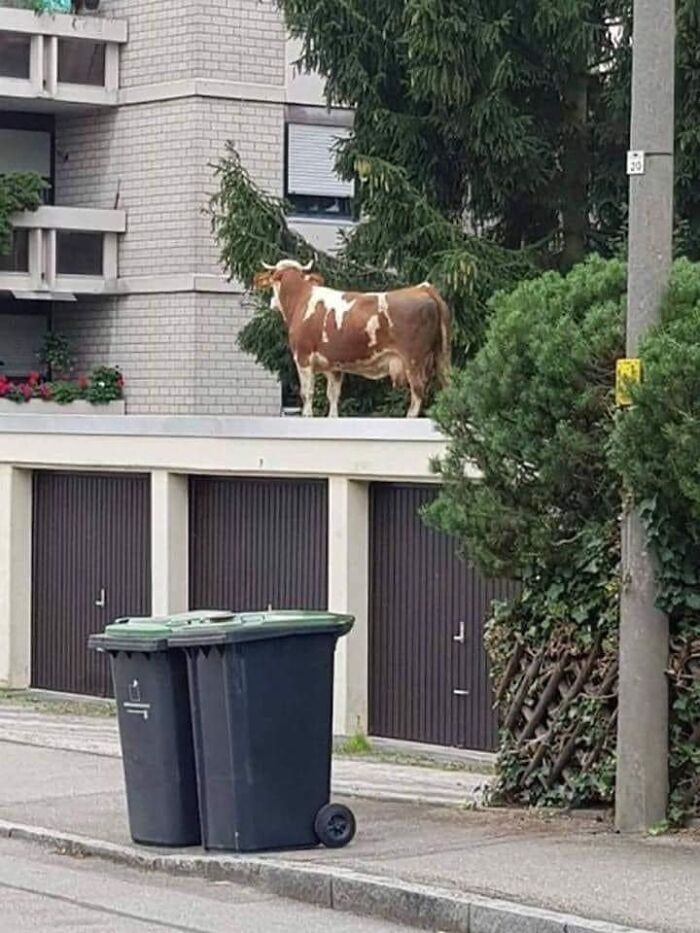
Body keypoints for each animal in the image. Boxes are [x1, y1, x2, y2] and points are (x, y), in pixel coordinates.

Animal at [253, 259, 451, 418]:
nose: (272, 303)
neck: (301, 300)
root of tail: (423, 288)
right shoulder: (333, 366)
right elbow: (333, 397)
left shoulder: (303, 357)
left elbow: (307, 393)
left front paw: (307, 415)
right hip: (441, 357)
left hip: (413, 360)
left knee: (418, 391)